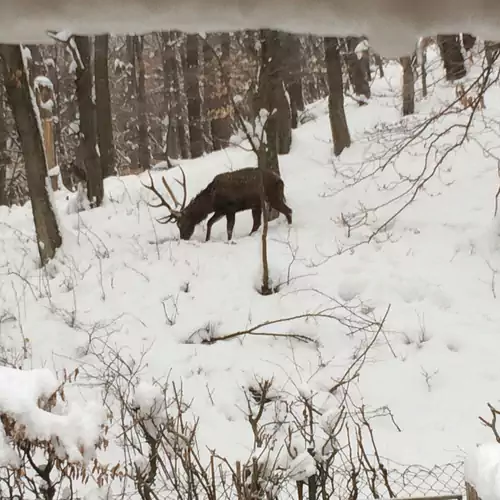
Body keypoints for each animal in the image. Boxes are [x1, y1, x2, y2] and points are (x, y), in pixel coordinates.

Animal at [141, 166, 292, 242]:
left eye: (180, 224)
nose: (183, 238)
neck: (211, 201)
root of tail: (280, 180)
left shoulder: (230, 208)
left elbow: (229, 228)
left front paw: (229, 241)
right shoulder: (220, 210)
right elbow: (209, 223)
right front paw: (207, 240)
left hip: (273, 197)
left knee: (288, 210)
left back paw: (289, 229)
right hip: (257, 204)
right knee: (257, 223)